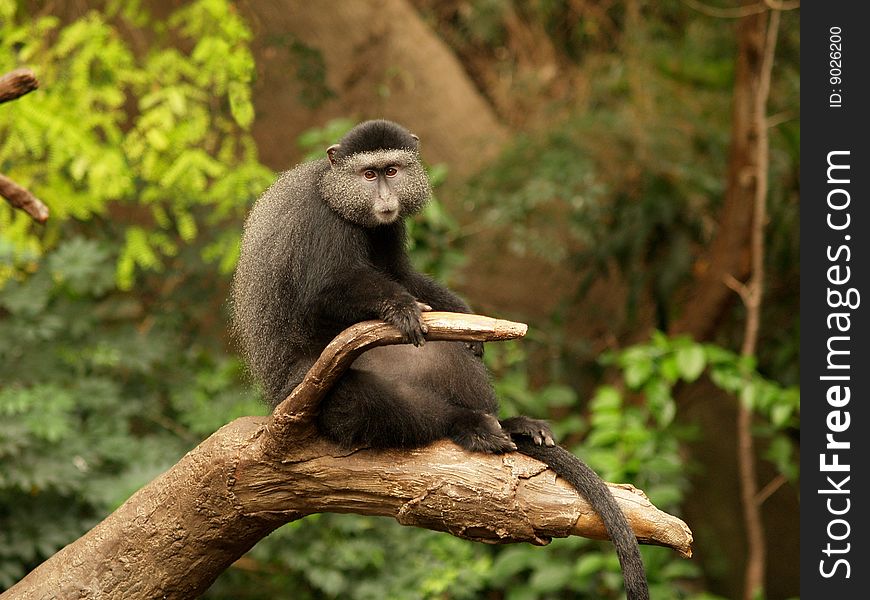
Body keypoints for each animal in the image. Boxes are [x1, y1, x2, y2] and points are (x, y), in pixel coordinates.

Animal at [233, 119, 656, 596]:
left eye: (392, 171)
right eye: (368, 175)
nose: (385, 199)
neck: (335, 192)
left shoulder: (387, 229)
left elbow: (402, 275)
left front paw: (463, 315)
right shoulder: (321, 225)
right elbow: (322, 294)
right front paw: (398, 307)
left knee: (444, 354)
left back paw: (509, 425)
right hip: (309, 387)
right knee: (367, 403)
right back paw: (467, 426)